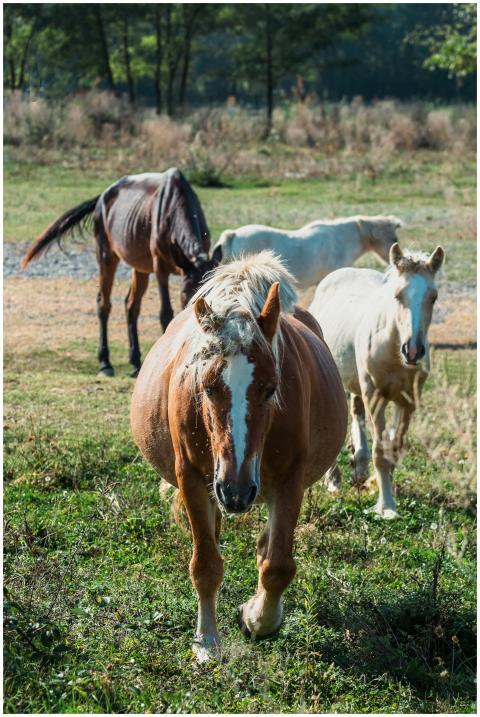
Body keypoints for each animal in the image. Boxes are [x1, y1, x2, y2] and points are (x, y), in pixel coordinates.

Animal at [21, 168, 215, 376]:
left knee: (131, 305)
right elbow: (166, 314)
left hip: (140, 267)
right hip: (106, 255)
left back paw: (136, 362)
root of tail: (102, 197)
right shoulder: (160, 267)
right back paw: (105, 363)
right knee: (104, 303)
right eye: (187, 293)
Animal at [131, 252, 347, 661]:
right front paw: (206, 642)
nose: (236, 491)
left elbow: (277, 565)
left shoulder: (290, 483)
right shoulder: (193, 480)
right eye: (207, 386)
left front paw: (256, 619)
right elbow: (206, 565)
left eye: (271, 388)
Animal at [309, 242, 445, 519]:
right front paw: (387, 507)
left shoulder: (408, 402)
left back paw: (358, 467)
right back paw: (334, 479)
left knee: (356, 411)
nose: (413, 351)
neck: (392, 348)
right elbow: (381, 452)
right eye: (398, 295)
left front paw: (380, 488)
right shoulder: (376, 396)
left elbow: (394, 448)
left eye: (433, 297)